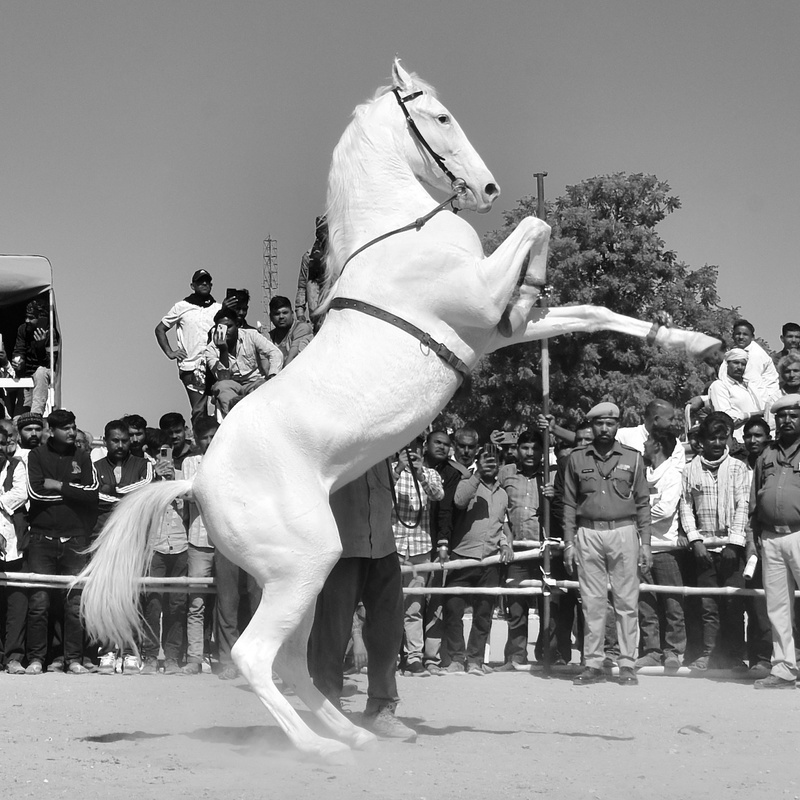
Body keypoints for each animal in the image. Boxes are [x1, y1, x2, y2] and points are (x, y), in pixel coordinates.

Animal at [77, 59, 720, 763]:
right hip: (303, 566)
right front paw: (533, 280)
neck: (404, 236)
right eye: (440, 117)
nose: (488, 188)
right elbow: (537, 229)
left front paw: (697, 343)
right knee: (254, 657)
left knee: (293, 662)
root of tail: (194, 482)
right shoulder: (479, 298)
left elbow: (595, 310)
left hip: (297, 579)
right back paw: (319, 748)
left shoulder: (494, 331)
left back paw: (353, 732)